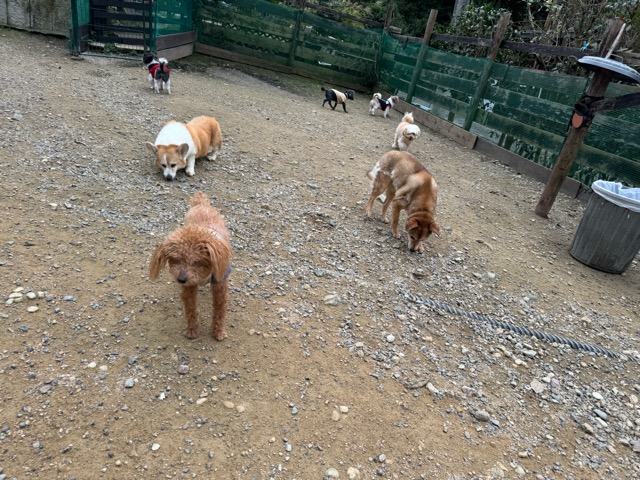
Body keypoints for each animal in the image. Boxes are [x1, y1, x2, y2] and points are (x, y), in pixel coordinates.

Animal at [149, 191, 233, 340]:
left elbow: (219, 310)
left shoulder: (220, 284)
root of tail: (201, 203)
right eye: (176, 260)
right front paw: (192, 330)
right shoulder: (189, 288)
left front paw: (218, 331)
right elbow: (191, 310)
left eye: (196, 261)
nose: (181, 279)